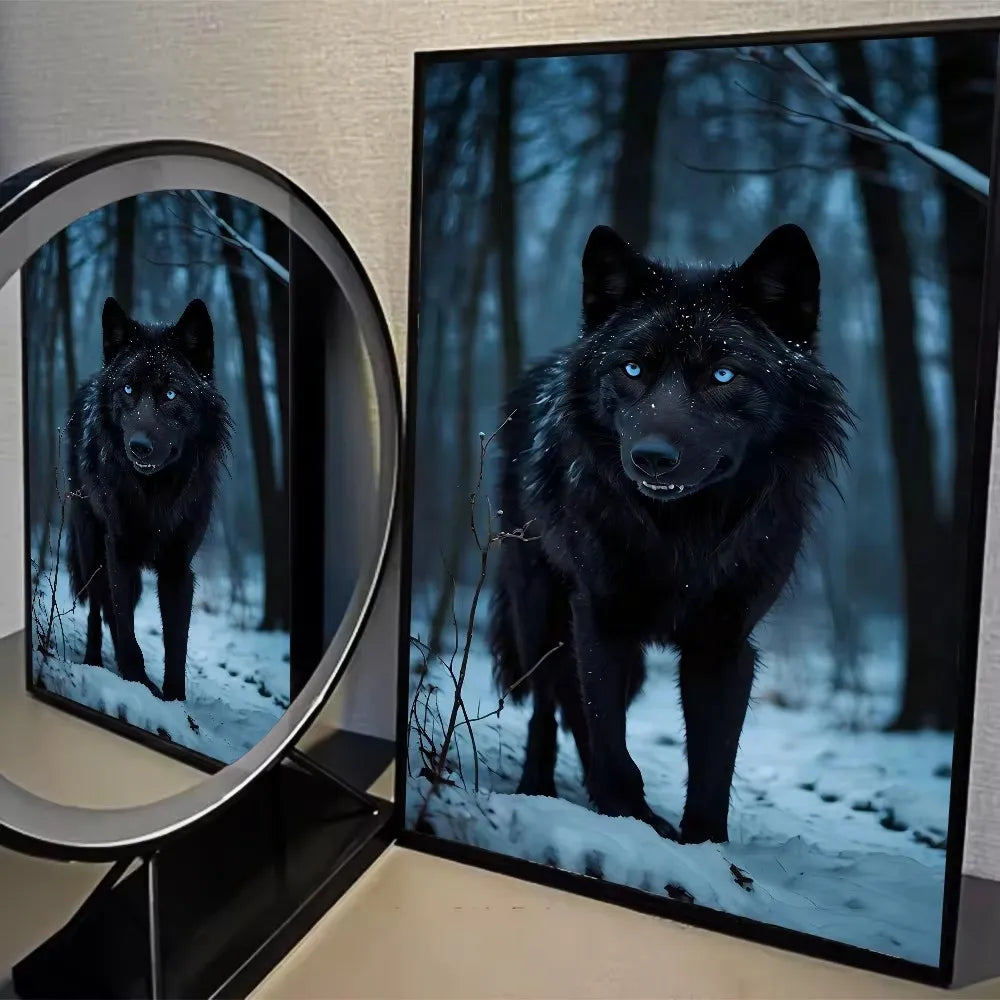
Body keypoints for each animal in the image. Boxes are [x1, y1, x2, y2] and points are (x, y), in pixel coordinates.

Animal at [64, 296, 231, 702]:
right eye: (127, 390)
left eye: (170, 394)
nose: (138, 446)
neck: (155, 496)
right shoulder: (118, 553)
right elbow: (125, 628)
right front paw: (136, 683)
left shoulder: (177, 568)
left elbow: (177, 645)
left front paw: (173, 701)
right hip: (90, 547)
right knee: (97, 609)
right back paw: (93, 660)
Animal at [488, 223, 851, 844]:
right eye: (633, 369)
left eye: (724, 374)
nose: (652, 459)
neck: (683, 539)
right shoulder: (599, 620)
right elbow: (608, 741)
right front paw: (626, 819)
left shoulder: (723, 646)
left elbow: (711, 769)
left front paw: (701, 847)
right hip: (538, 616)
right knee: (548, 705)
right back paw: (539, 788)